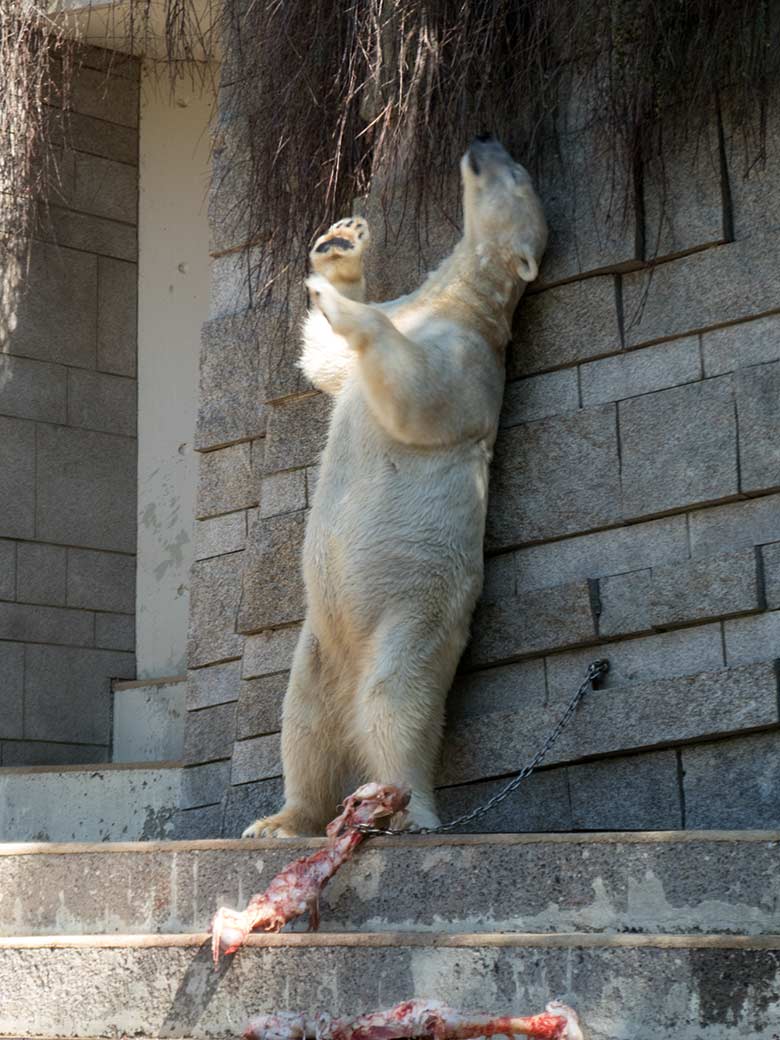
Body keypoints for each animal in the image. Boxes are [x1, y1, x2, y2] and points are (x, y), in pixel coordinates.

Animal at [245, 136, 549, 836]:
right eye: (508, 159)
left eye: (519, 174)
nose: (487, 140)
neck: (452, 301)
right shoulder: (411, 311)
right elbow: (327, 364)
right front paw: (338, 246)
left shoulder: (472, 363)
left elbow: (415, 394)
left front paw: (337, 300)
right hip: (319, 648)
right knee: (300, 723)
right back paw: (281, 820)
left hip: (415, 616)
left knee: (397, 704)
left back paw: (409, 812)